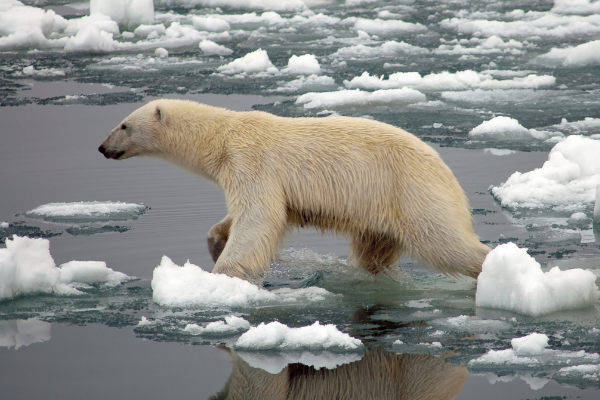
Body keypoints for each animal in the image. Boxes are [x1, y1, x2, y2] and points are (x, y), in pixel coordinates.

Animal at [98, 99, 490, 280]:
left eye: (124, 124)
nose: (102, 147)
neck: (223, 136)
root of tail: (448, 175)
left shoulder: (252, 161)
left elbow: (258, 216)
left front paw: (224, 273)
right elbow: (245, 216)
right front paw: (216, 243)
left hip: (411, 191)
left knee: (444, 241)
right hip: (379, 209)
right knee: (372, 249)